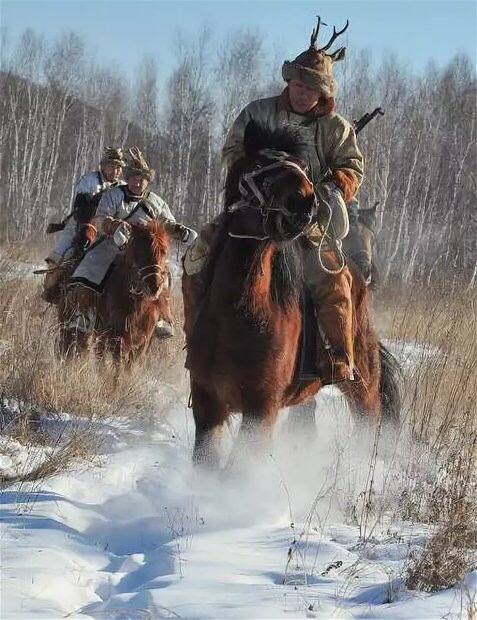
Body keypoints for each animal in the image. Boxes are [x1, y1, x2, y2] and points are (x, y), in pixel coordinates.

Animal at [184, 121, 400, 468]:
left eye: (300, 165)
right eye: (260, 163)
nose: (305, 203)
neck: (239, 315)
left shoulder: (261, 411)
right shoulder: (208, 405)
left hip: (362, 384)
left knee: (369, 419)